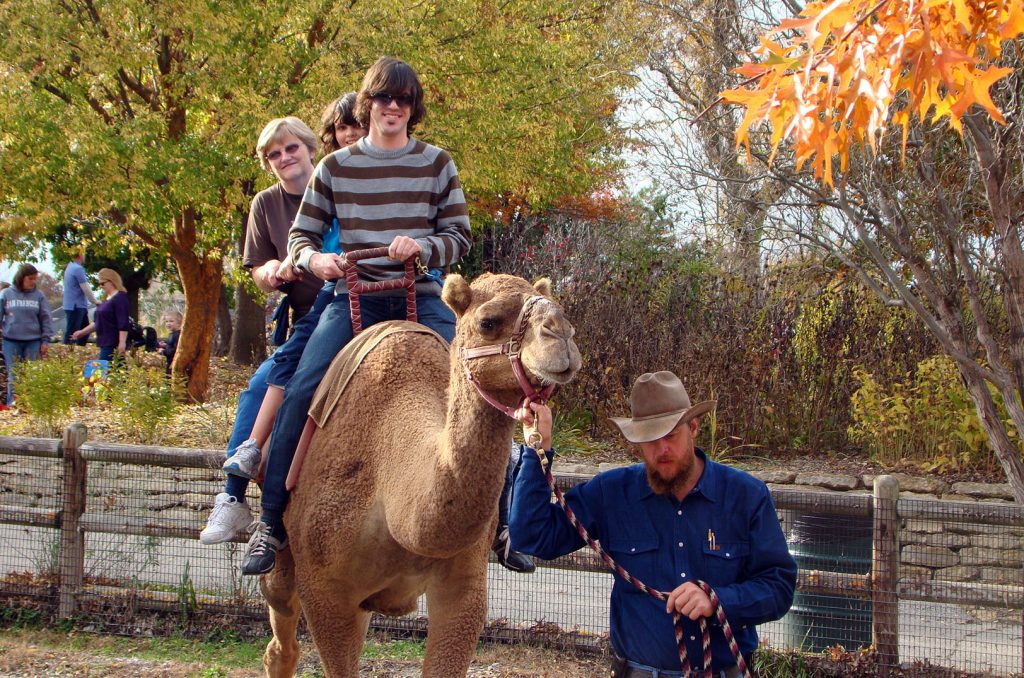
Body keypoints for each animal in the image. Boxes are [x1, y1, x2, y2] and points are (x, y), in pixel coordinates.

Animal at [260, 274, 581, 675]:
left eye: (562, 310)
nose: (562, 334)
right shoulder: (325, 589)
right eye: (487, 322)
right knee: (279, 623)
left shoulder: (464, 589)